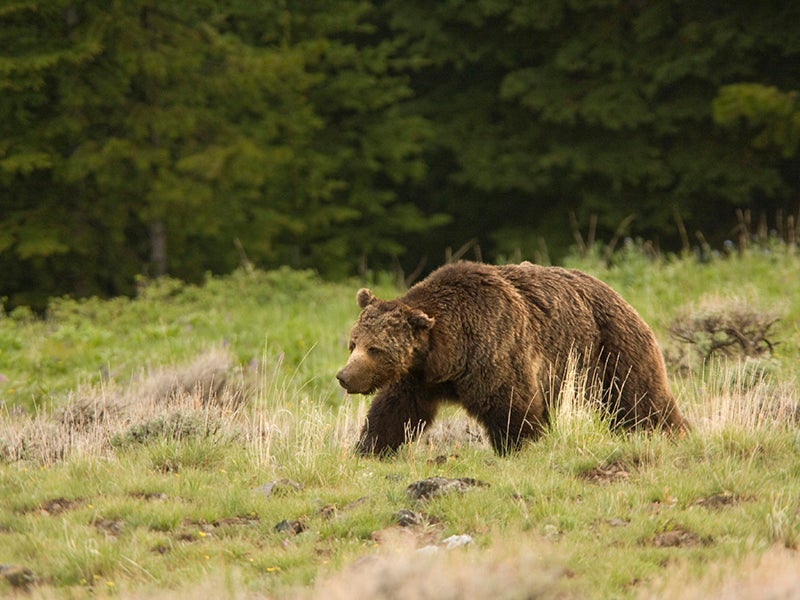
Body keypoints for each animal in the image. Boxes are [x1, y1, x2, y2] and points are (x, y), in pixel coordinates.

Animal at [336, 262, 688, 454]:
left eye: (375, 348)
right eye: (354, 344)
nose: (344, 376)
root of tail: (619, 295)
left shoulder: (494, 350)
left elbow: (510, 405)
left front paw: (519, 444)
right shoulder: (418, 377)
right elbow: (394, 411)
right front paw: (369, 447)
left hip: (611, 348)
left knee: (640, 399)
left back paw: (674, 431)